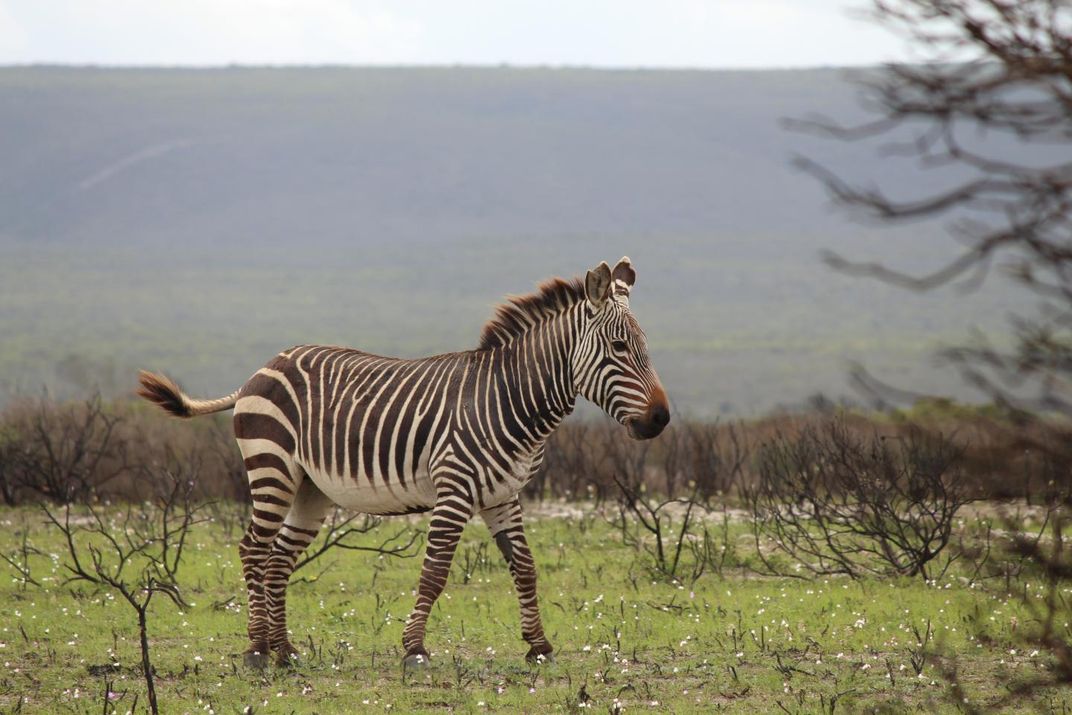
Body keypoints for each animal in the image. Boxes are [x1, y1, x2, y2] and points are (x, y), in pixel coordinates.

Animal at [137, 257, 664, 673]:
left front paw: (538, 646)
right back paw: (256, 650)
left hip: (311, 489)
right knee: (252, 549)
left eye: (646, 347)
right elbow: (434, 572)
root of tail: (263, 366)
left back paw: (284, 650)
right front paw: (414, 649)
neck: (511, 399)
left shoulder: (504, 496)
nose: (661, 419)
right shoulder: (455, 490)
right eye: (620, 348)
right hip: (272, 468)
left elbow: (525, 568)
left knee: (279, 557)